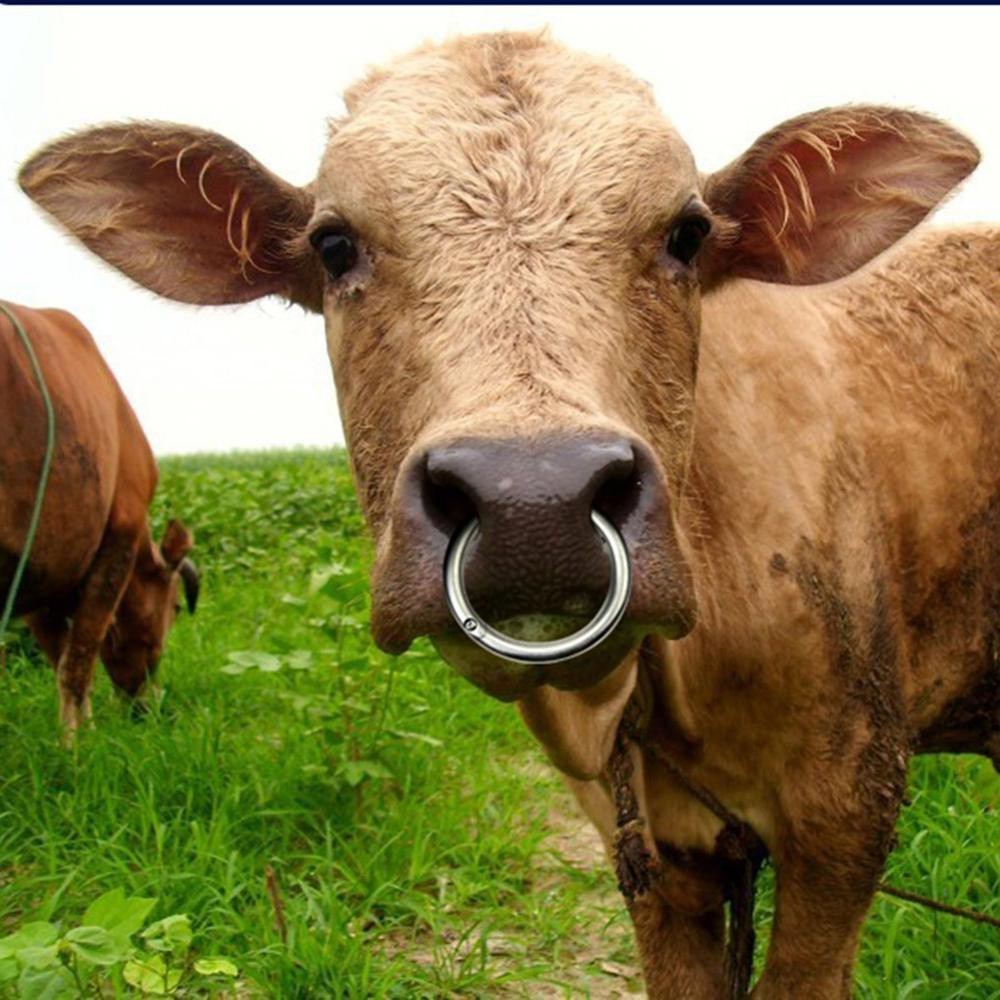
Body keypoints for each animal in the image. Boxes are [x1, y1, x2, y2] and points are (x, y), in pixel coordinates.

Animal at [0, 302, 199, 732]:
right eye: (175, 607)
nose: (145, 707)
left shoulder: (43, 572)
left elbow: (64, 659)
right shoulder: (116, 542)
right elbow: (78, 665)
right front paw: (77, 743)